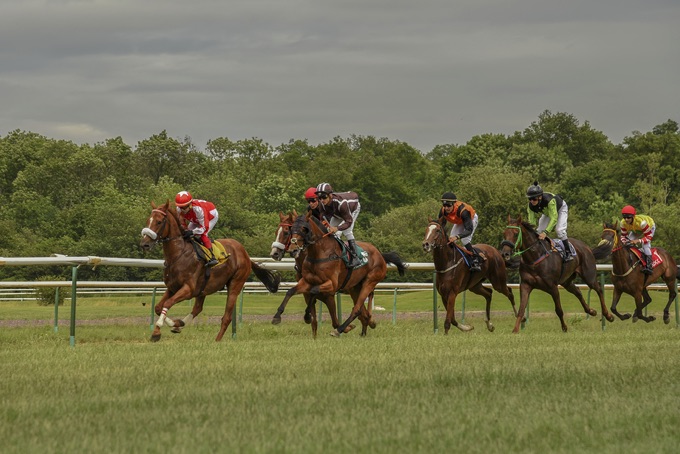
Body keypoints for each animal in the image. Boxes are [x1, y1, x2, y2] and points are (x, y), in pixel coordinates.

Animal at [139, 200, 280, 342]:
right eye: (148, 220)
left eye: (159, 221)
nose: (145, 244)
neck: (179, 255)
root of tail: (245, 254)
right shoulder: (172, 287)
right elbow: (158, 307)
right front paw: (169, 326)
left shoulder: (188, 289)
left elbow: (167, 303)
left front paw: (158, 330)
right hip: (204, 288)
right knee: (197, 308)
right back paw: (180, 324)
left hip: (235, 284)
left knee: (226, 317)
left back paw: (217, 339)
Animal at [276, 213, 404, 336]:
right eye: (291, 229)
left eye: (304, 229)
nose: (292, 249)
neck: (319, 253)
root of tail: (380, 255)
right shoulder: (307, 281)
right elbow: (291, 292)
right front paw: (277, 316)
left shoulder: (331, 287)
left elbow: (315, 293)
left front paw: (308, 316)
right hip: (355, 288)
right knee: (363, 312)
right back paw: (366, 327)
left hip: (369, 282)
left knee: (357, 309)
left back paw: (340, 330)